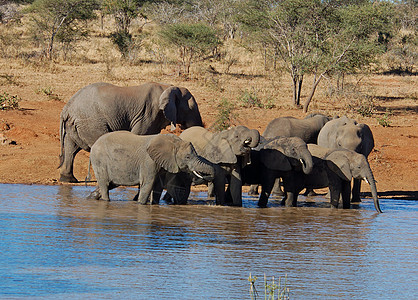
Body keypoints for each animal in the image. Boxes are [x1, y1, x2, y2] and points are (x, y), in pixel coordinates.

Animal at [58, 81, 202, 183]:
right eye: (191, 108)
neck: (167, 86)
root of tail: (66, 108)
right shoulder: (148, 114)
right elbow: (140, 136)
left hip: (76, 124)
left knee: (71, 148)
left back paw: (68, 179)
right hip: (91, 121)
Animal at [86, 131, 214, 204]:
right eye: (187, 157)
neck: (174, 142)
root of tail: (94, 145)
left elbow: (158, 185)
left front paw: (154, 205)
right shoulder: (148, 161)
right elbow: (148, 183)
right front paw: (141, 204)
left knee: (110, 184)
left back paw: (92, 197)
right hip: (99, 161)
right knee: (105, 184)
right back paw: (105, 201)